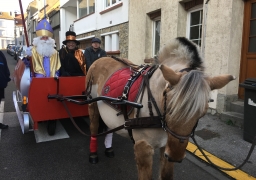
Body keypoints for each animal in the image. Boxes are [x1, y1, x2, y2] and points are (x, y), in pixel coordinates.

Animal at [85, 37, 235, 179]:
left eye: (202, 114)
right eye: (170, 108)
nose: (175, 156)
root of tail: (102, 58)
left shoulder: (166, 146)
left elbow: (166, 175)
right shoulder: (143, 148)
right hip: (92, 104)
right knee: (93, 126)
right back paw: (92, 153)